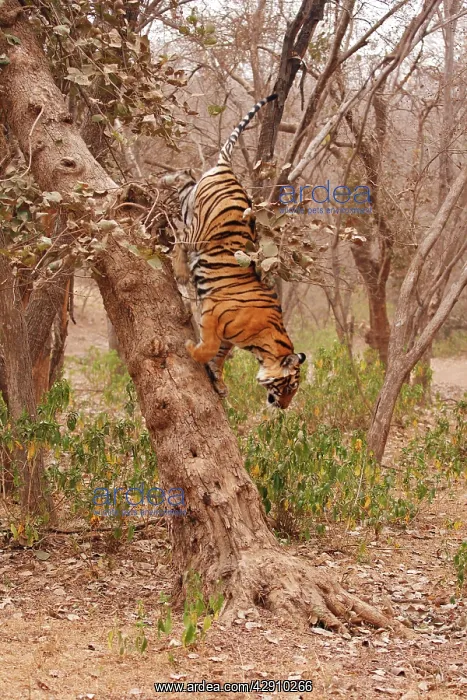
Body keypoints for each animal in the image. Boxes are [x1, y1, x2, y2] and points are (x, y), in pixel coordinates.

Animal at [163, 95, 306, 409]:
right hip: (198, 232)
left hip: (189, 200)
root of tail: (229, 171)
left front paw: (218, 383)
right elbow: (208, 347)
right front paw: (191, 348)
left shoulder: (228, 338)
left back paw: (164, 179)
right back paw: (180, 272)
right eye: (289, 385)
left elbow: (219, 356)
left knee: (184, 176)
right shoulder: (213, 313)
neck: (263, 345)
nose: (283, 407)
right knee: (180, 239)